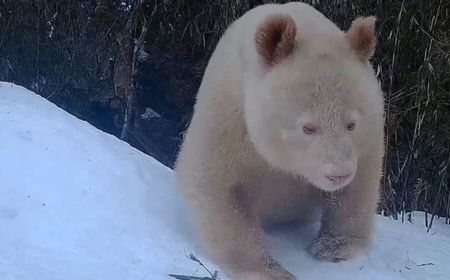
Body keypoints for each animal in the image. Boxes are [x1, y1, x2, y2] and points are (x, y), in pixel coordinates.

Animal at [174, 1, 384, 278]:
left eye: (351, 124)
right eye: (308, 128)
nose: (338, 174)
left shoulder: (368, 138)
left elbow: (359, 185)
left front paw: (333, 247)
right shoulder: (228, 115)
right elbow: (214, 184)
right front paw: (269, 270)